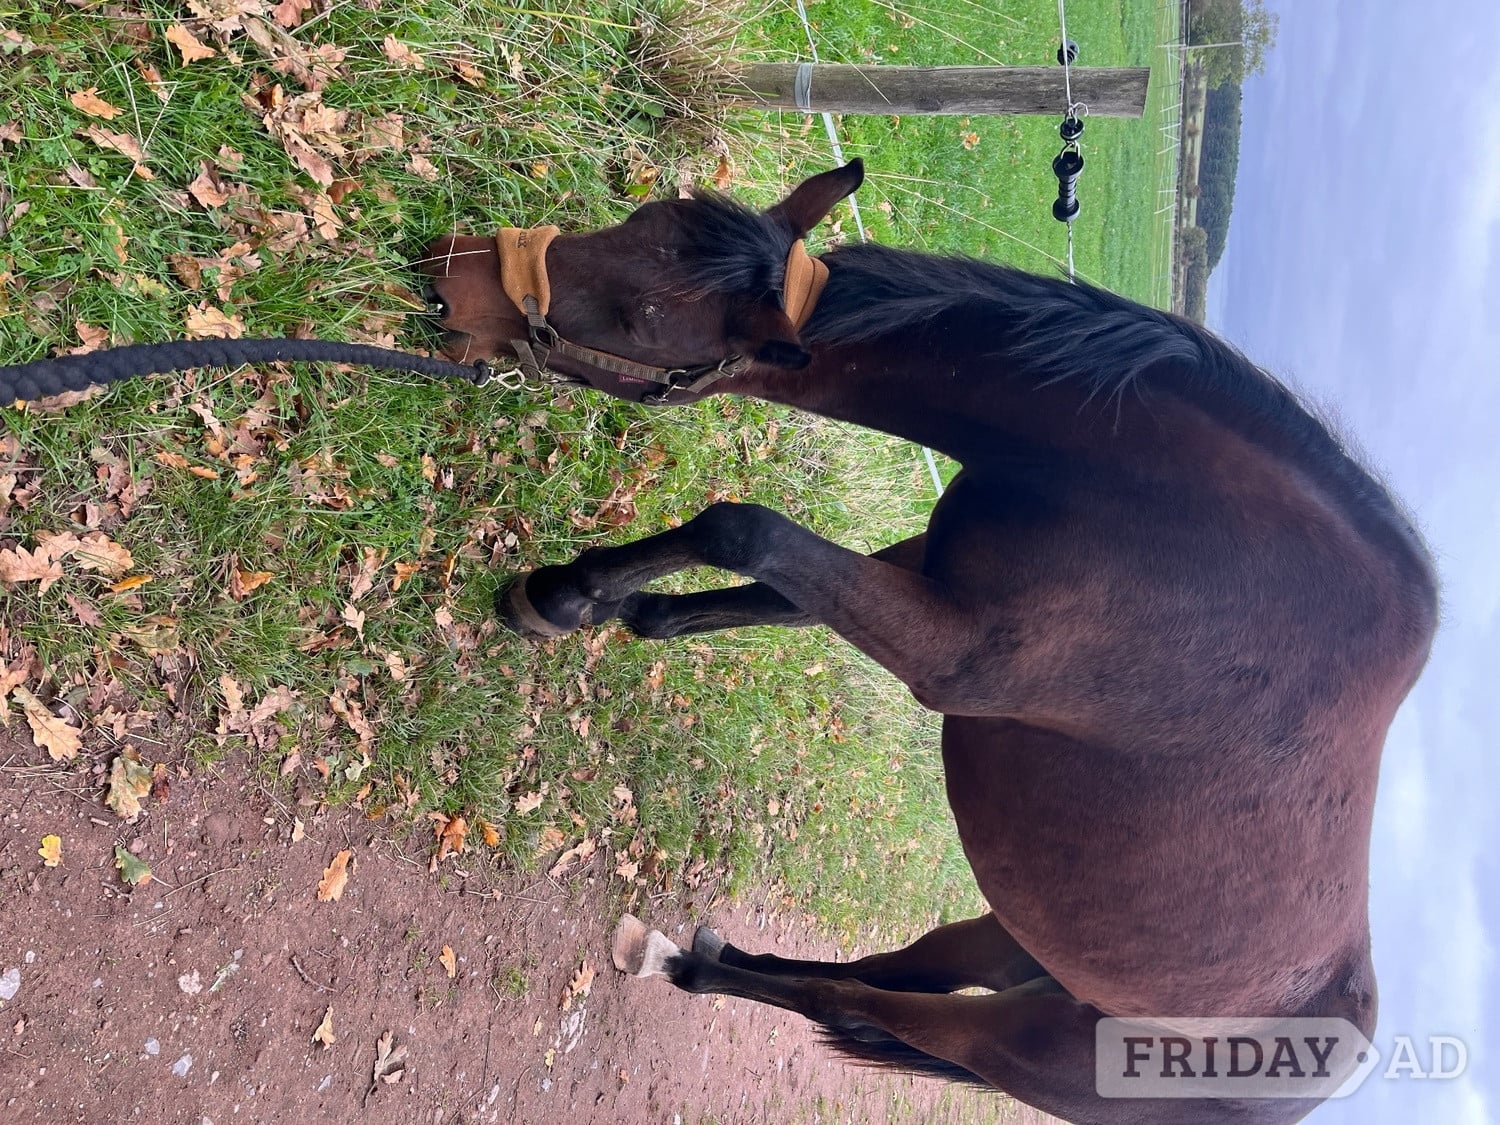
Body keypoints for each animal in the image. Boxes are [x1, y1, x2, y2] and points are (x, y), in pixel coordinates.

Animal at [414, 160, 1437, 1124]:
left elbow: (743, 530)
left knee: (859, 1001)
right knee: (892, 967)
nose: (445, 273)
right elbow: (762, 585)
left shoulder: (952, 654)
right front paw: (596, 601)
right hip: (1002, 936)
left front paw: (568, 595)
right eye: (636, 221)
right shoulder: (922, 564)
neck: (1167, 520)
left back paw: (692, 968)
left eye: (644, 316)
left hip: (1005, 1037)